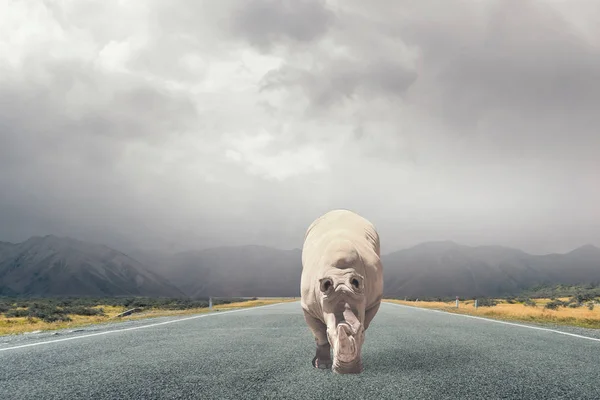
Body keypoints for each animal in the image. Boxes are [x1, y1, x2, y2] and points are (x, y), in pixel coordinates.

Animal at [300, 208, 384, 374]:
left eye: (362, 333)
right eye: (328, 334)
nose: (348, 371)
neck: (340, 276)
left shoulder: (374, 301)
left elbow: (365, 322)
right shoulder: (308, 307)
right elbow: (320, 335)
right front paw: (323, 365)